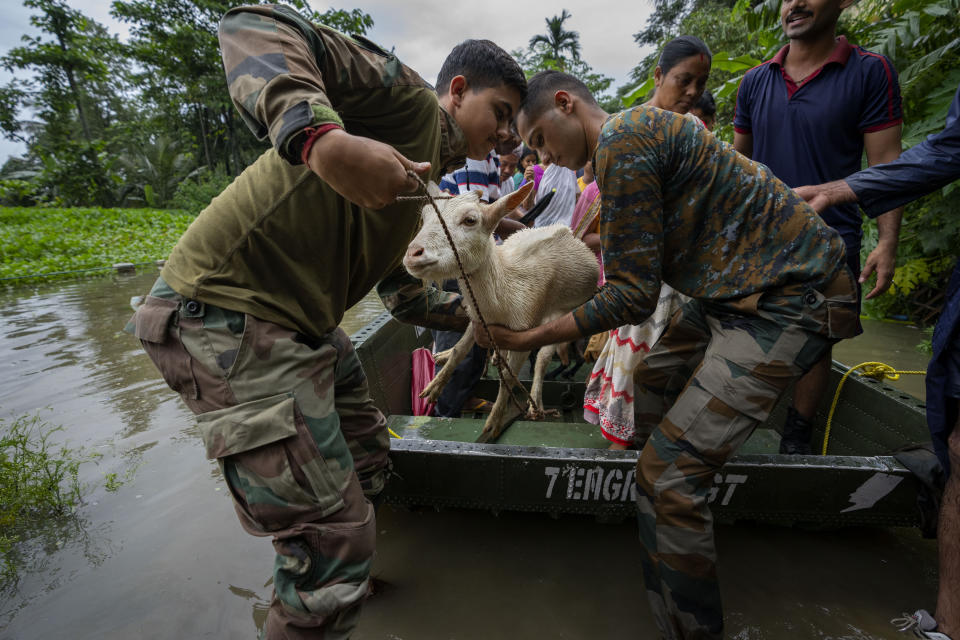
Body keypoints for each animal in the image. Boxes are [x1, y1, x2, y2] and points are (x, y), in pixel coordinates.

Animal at [402, 180, 596, 440]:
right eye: (424, 216)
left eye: (470, 220)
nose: (413, 255)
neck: (503, 297)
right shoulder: (478, 318)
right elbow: (460, 350)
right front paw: (433, 387)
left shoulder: (526, 332)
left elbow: (509, 379)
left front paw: (494, 423)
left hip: (564, 313)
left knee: (544, 357)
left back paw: (536, 403)